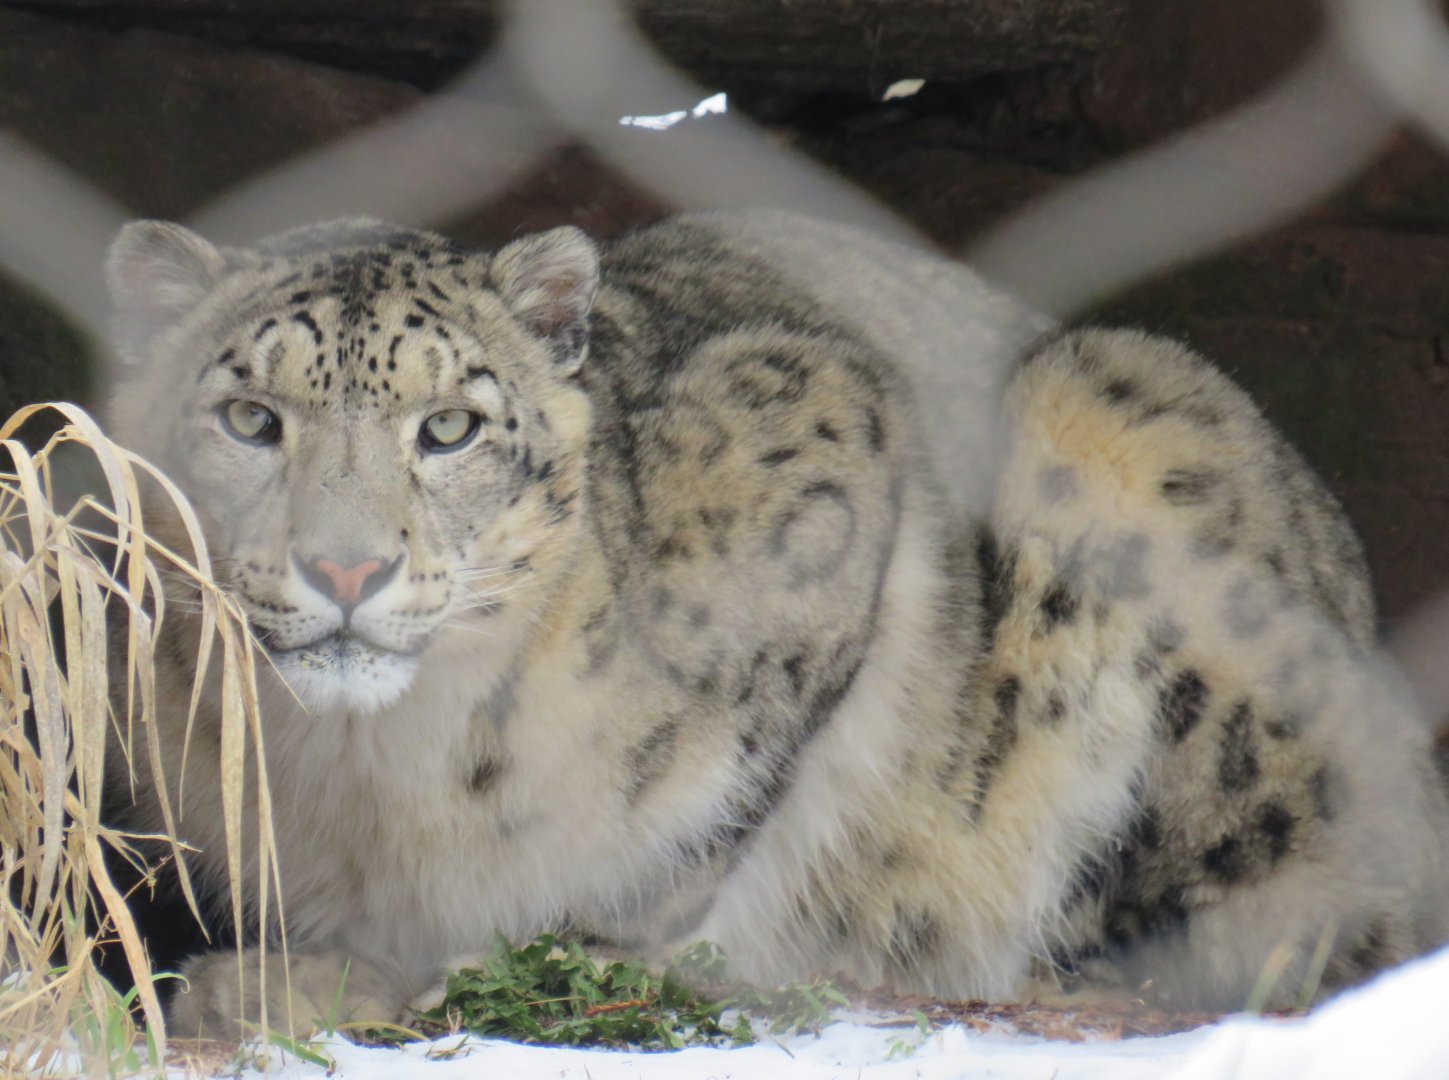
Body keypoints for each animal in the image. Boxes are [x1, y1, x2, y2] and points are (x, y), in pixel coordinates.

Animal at [101, 208, 1449, 1040]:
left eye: (449, 429)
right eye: (250, 419)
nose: (346, 566)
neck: (369, 769)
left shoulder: (823, 454)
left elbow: (695, 831)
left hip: (1133, 426)